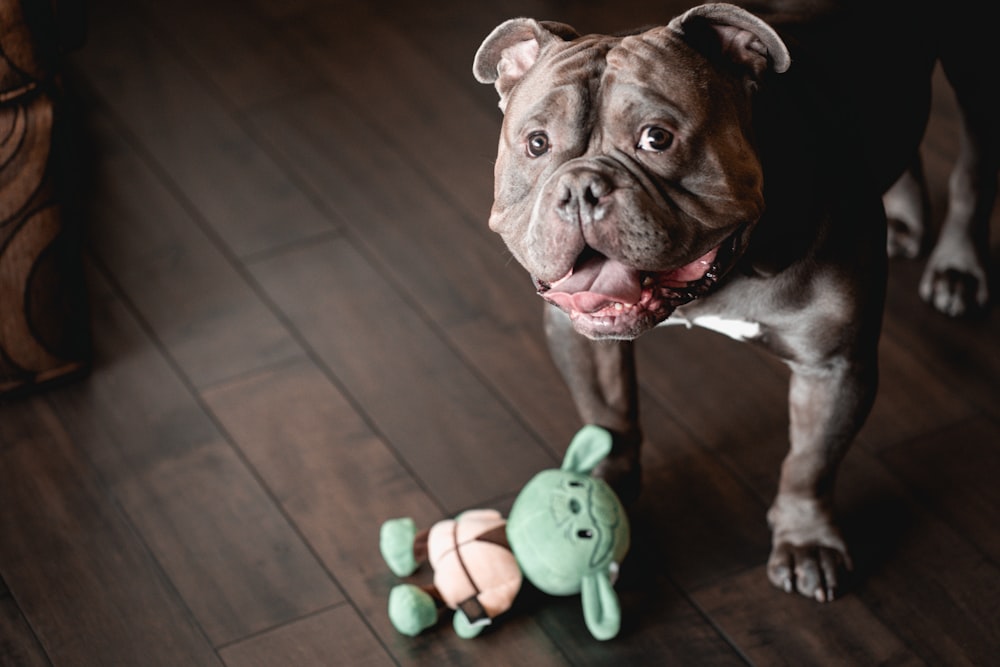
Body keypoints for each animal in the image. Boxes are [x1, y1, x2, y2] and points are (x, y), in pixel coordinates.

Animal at [472, 0, 996, 604]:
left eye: (657, 138)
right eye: (536, 144)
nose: (581, 187)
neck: (726, 271)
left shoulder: (835, 366)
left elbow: (809, 461)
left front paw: (806, 541)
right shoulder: (583, 339)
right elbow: (608, 417)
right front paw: (604, 489)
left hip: (976, 65)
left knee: (975, 170)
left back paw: (958, 266)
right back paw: (907, 221)